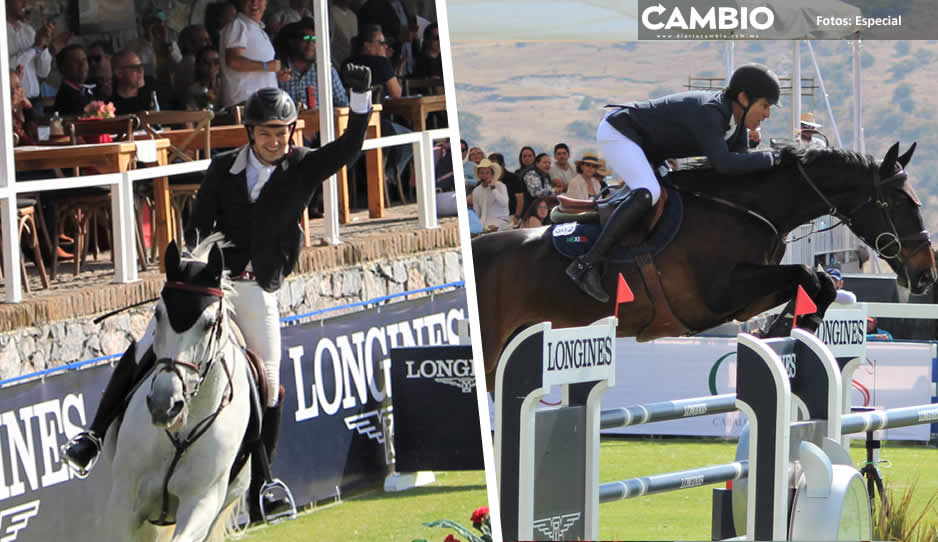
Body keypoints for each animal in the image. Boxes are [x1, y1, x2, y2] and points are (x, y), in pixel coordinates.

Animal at [476, 144, 936, 392]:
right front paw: (778, 330)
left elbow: (818, 282)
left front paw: (792, 326)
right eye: (901, 202)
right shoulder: (718, 297)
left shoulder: (745, 296)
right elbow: (807, 276)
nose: (926, 275)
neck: (743, 208)